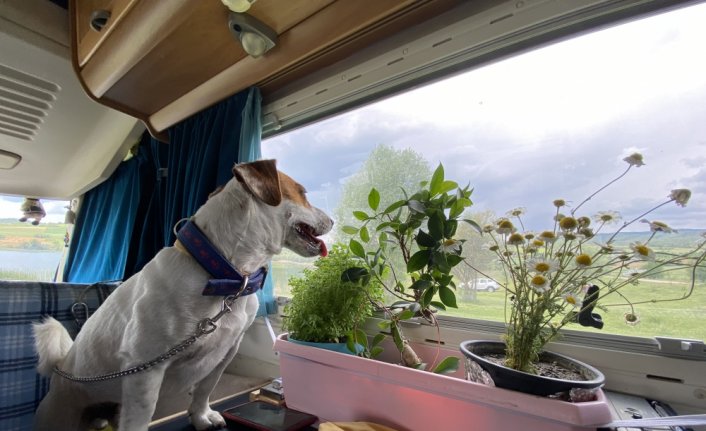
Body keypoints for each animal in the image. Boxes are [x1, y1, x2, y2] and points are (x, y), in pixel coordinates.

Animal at [33, 159, 333, 430]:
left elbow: (205, 389)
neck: (225, 278)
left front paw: (200, 417)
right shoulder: (145, 369)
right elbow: (139, 418)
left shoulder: (226, 351)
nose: (332, 219)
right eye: (303, 193)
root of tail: (61, 367)